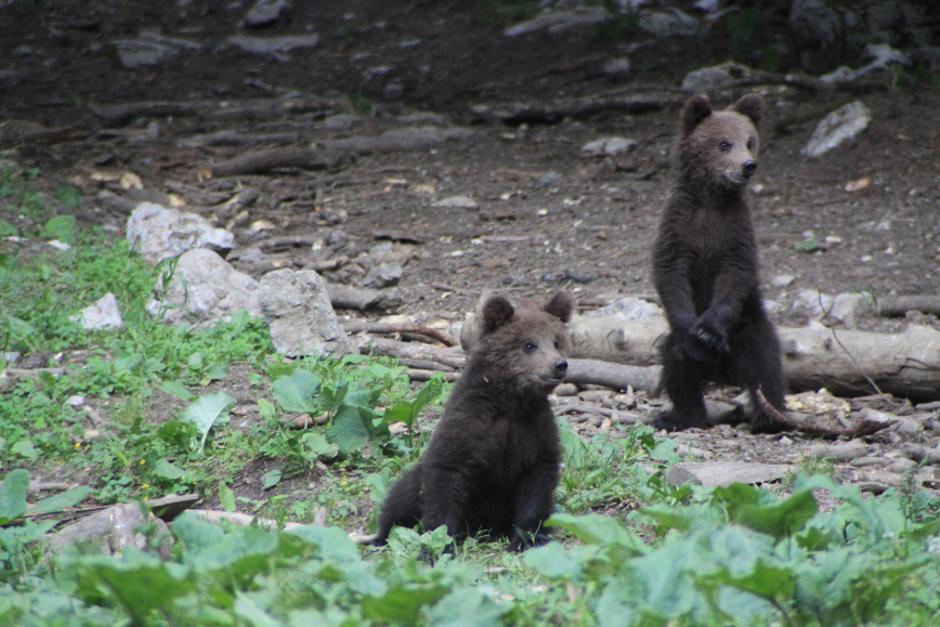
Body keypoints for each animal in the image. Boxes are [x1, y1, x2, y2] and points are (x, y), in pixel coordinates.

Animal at [370, 292, 568, 552]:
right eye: (529, 345)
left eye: (556, 342)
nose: (559, 364)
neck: (510, 401)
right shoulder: (468, 425)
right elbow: (446, 475)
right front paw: (438, 546)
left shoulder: (534, 430)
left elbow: (537, 485)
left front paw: (528, 539)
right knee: (402, 496)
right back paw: (381, 535)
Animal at [652, 93, 784, 434]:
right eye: (724, 143)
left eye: (750, 141)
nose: (748, 165)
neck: (711, 201)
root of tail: (723, 376)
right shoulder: (679, 229)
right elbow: (670, 273)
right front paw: (695, 332)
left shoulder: (735, 233)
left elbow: (735, 275)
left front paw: (708, 332)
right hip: (678, 349)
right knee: (676, 364)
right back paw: (680, 416)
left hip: (750, 329)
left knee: (766, 369)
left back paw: (771, 417)